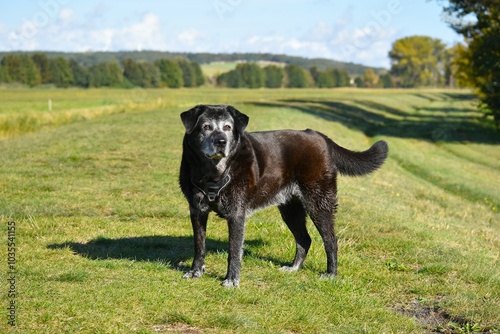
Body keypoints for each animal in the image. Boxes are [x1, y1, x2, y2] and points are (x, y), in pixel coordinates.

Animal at [178, 105, 388, 288]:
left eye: (228, 127)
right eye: (206, 127)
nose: (221, 142)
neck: (213, 173)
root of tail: (318, 135)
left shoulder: (236, 214)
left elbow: (234, 251)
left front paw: (231, 280)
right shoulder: (197, 211)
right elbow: (199, 245)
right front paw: (195, 272)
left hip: (318, 204)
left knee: (331, 240)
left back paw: (331, 274)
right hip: (291, 210)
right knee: (305, 239)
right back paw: (294, 268)